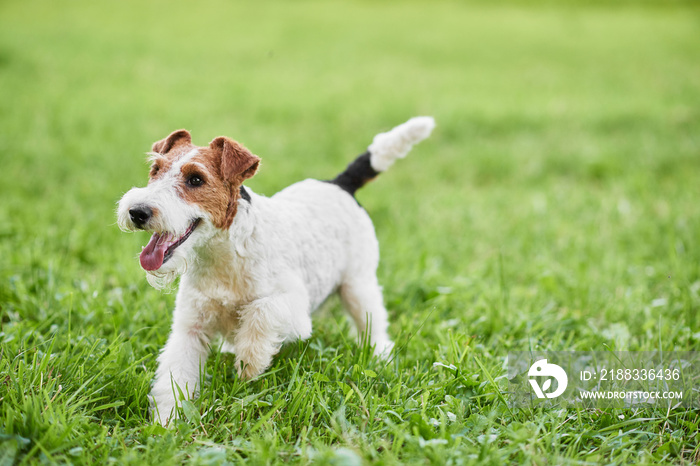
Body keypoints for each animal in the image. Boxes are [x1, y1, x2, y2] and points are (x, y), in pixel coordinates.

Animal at [117, 115, 434, 422]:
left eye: (196, 179)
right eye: (155, 169)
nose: (137, 212)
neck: (223, 252)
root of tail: (339, 183)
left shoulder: (293, 308)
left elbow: (261, 311)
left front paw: (250, 363)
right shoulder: (190, 327)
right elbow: (175, 377)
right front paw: (166, 422)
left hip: (358, 285)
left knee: (373, 324)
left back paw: (380, 356)